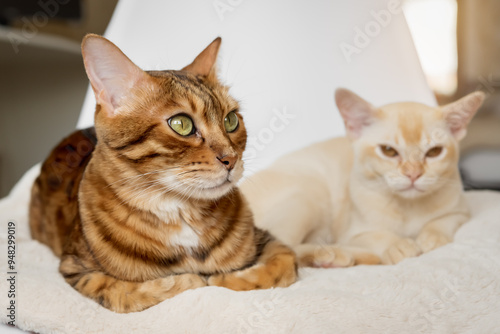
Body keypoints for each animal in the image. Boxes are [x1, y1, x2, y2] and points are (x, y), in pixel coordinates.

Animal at [242, 88, 484, 266]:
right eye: (389, 151)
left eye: (434, 152)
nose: (413, 173)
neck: (408, 208)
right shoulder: (353, 233)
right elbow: (379, 236)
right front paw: (398, 246)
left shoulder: (461, 211)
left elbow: (442, 221)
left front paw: (432, 237)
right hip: (309, 193)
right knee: (282, 248)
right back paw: (334, 256)